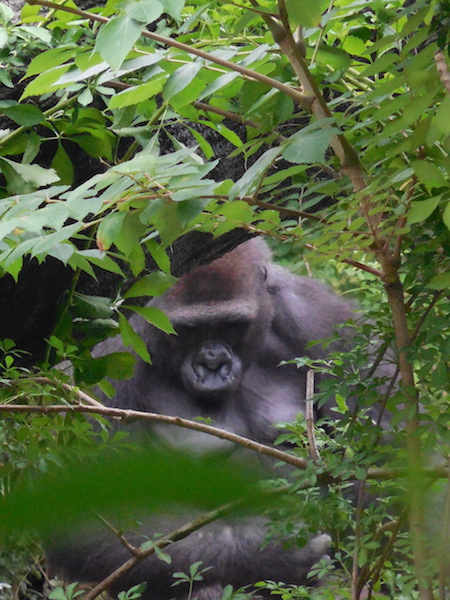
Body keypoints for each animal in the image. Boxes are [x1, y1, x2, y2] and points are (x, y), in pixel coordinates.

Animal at [44, 238, 390, 600]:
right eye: (187, 330)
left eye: (230, 325)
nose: (213, 365)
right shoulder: (110, 353)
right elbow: (83, 516)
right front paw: (274, 553)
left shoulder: (318, 315)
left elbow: (380, 458)